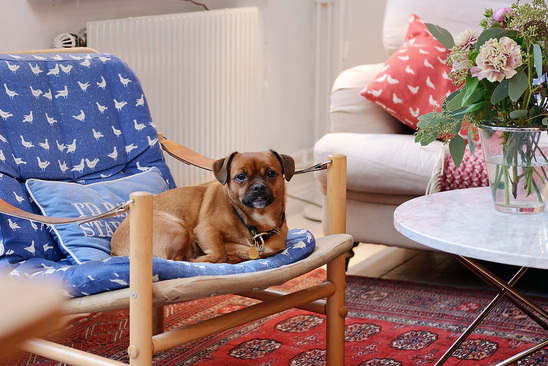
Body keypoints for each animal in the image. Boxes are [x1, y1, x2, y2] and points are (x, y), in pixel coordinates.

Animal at [108, 149, 294, 264]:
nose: (258, 187)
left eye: (271, 173)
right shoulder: (206, 230)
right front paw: (203, 259)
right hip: (180, 230)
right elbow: (219, 253)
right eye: (240, 176)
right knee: (176, 259)